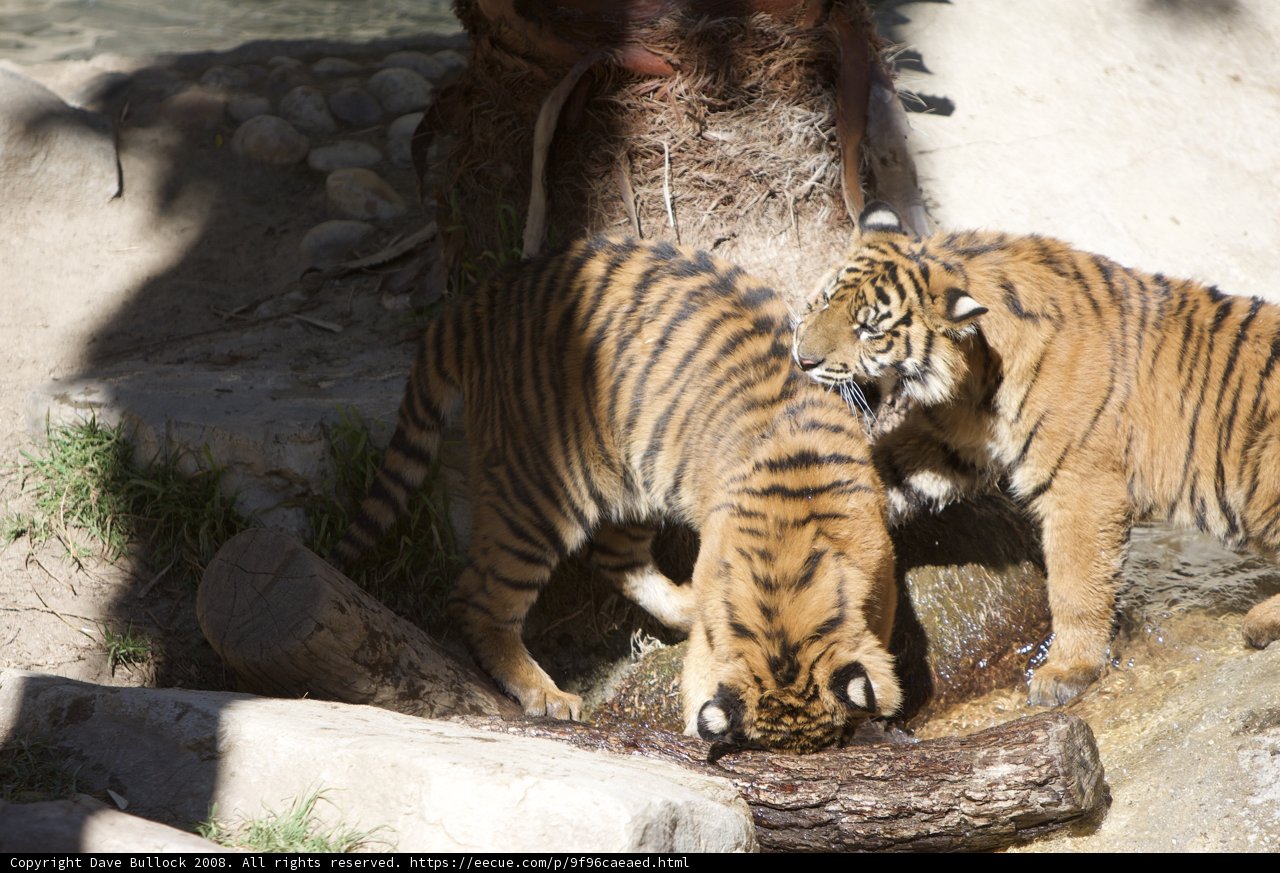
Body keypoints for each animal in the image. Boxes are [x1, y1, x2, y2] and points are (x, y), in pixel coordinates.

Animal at [330, 234, 902, 751]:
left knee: (615, 558)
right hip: (535, 494)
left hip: (636, 474)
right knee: (480, 600)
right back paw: (549, 695)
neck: (785, 577)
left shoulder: (879, 567)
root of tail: (480, 300)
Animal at [792, 201, 1280, 707]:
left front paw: (1067, 671)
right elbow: (878, 472)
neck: (975, 375)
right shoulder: (946, 443)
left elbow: (1075, 585)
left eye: (869, 329)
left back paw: (1259, 621)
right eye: (825, 300)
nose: (802, 358)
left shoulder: (1081, 488)